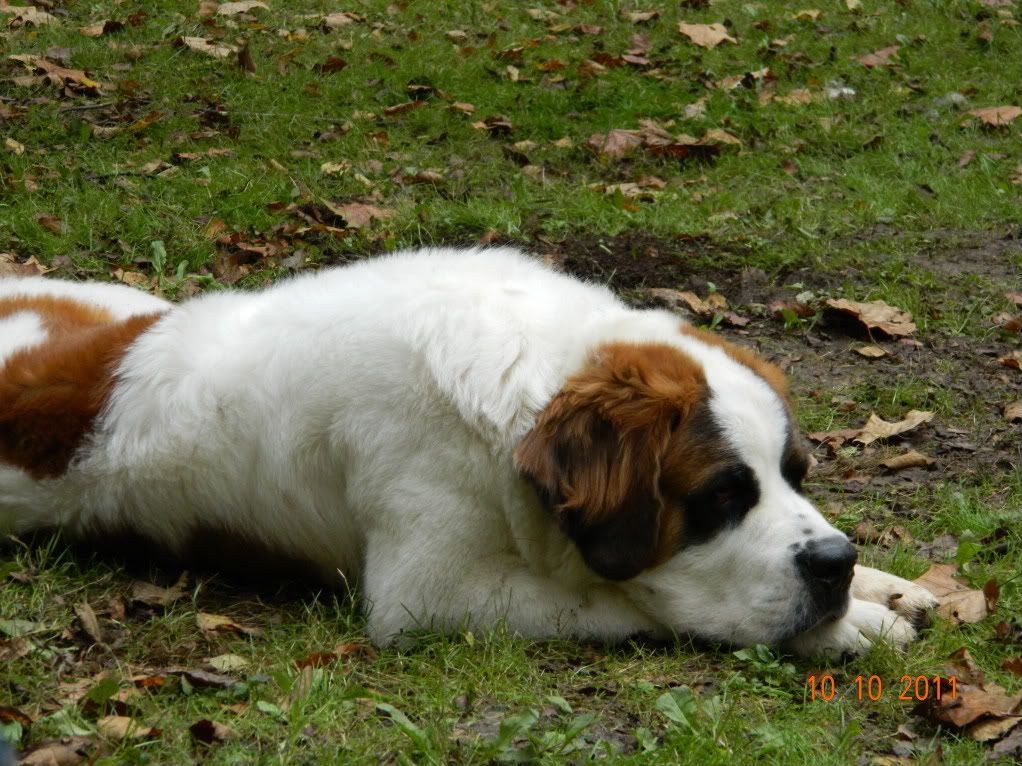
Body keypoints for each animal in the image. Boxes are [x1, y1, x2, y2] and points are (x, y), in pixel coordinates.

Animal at [0, 247, 937, 655]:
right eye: (720, 498)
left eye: (793, 475)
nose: (833, 564)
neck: (524, 394)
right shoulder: (429, 597)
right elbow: (624, 600)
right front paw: (853, 624)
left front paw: (888, 585)